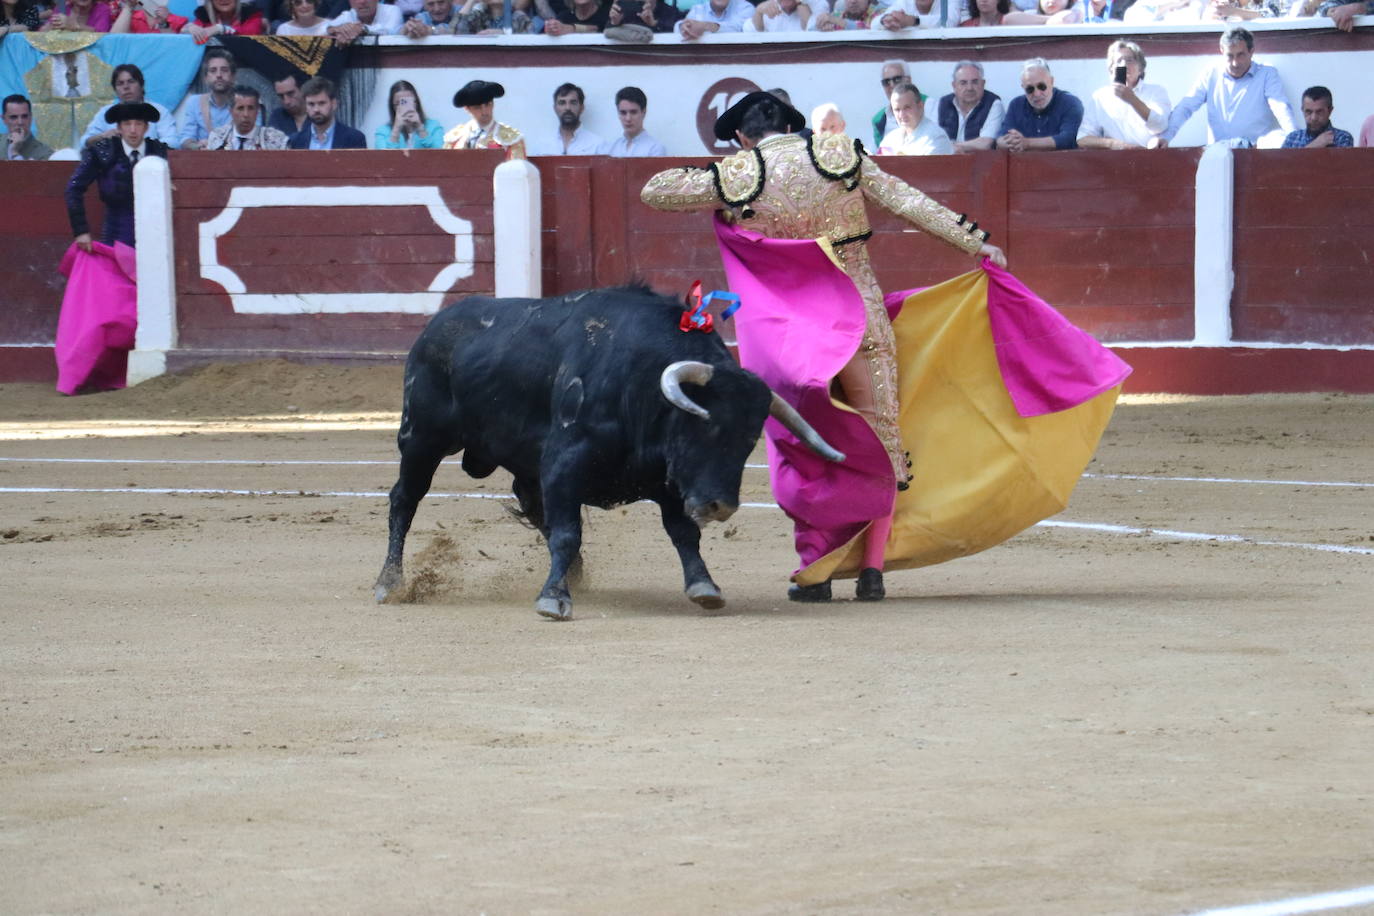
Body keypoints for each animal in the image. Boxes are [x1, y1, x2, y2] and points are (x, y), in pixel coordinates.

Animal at [376, 282, 846, 620]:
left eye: (750, 440)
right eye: (704, 425)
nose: (720, 506)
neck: (641, 386)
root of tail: (437, 324)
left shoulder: (667, 481)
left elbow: (684, 534)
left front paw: (704, 587)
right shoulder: (563, 464)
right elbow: (567, 531)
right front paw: (554, 598)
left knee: (529, 501)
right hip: (421, 439)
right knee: (405, 500)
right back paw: (389, 582)